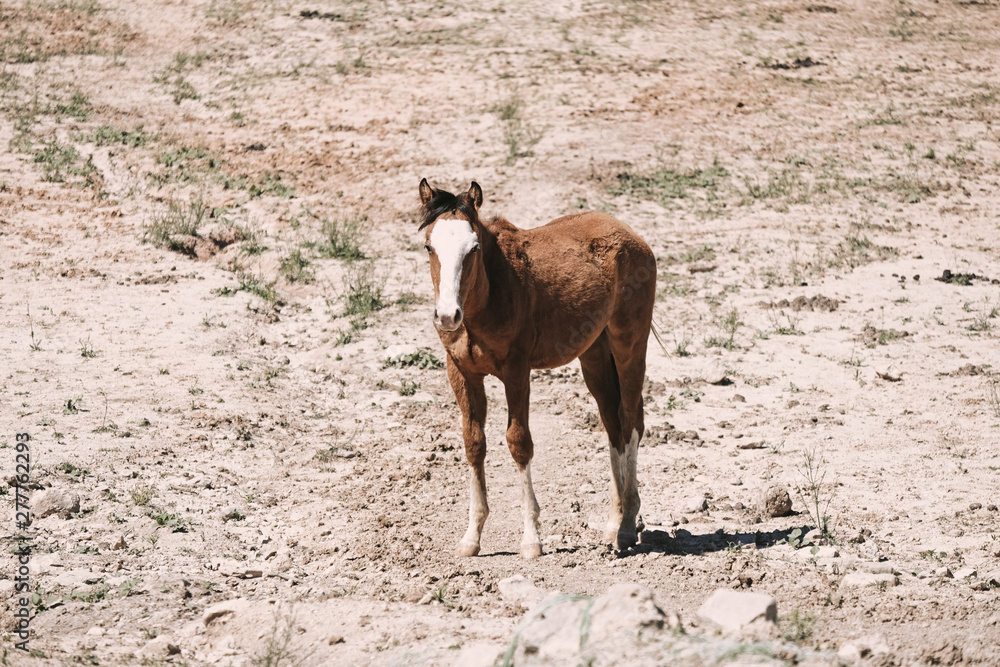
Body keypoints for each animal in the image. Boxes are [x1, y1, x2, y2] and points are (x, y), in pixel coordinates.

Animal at [418, 179, 656, 559]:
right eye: (429, 247)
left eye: (473, 248)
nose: (447, 316)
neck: (489, 296)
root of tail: (633, 237)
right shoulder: (462, 373)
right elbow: (473, 443)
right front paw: (471, 537)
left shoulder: (516, 372)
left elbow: (519, 442)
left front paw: (531, 539)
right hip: (595, 356)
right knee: (612, 425)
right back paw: (613, 523)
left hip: (629, 345)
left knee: (631, 419)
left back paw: (627, 527)